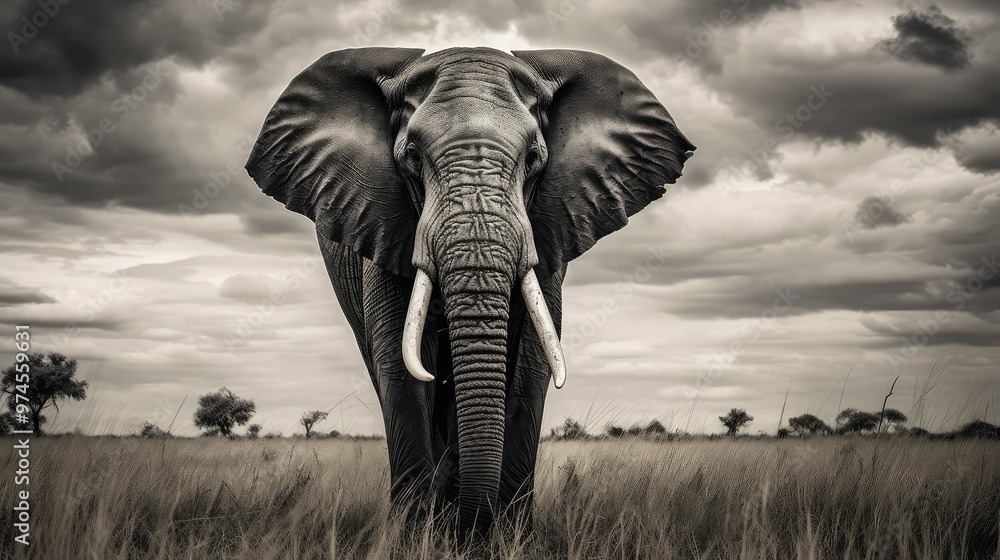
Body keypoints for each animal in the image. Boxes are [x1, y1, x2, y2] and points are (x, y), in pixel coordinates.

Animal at [245, 47, 694, 536]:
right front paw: (415, 535)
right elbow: (402, 370)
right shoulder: (382, 224)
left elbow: (530, 369)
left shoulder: (548, 231)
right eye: (412, 157)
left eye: (534, 159)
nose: (472, 526)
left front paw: (506, 537)